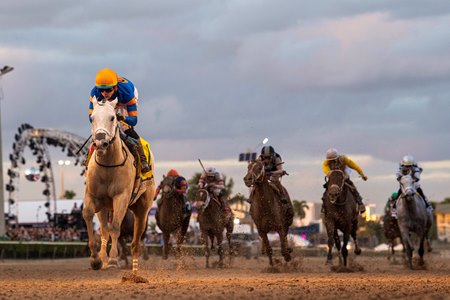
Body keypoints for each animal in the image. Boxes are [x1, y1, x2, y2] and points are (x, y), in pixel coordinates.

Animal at [82, 97, 155, 274]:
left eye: (112, 117)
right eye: (92, 118)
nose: (100, 142)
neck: (108, 166)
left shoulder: (121, 197)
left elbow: (115, 227)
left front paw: (114, 260)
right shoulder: (93, 196)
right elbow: (88, 215)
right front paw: (96, 260)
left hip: (142, 208)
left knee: (136, 241)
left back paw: (134, 268)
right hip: (105, 207)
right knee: (104, 230)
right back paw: (103, 258)